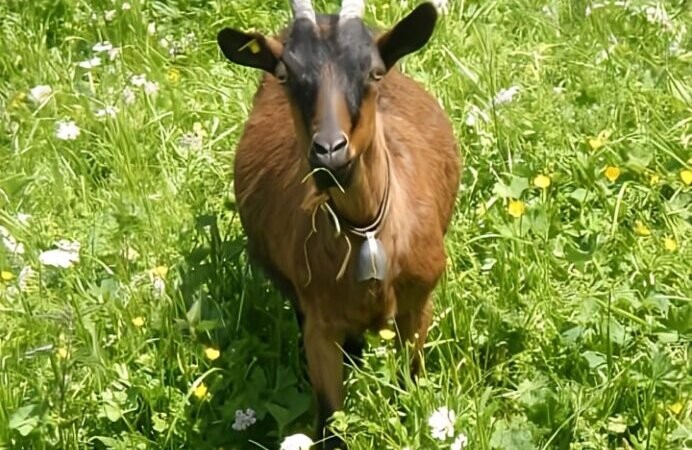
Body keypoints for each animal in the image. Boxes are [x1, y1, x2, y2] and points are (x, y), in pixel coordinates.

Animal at [216, 1, 460, 448]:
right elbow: (330, 421)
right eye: (285, 74)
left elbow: (411, 384)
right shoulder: (319, 324)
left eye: (375, 72)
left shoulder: (419, 303)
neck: (366, 230)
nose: (329, 151)